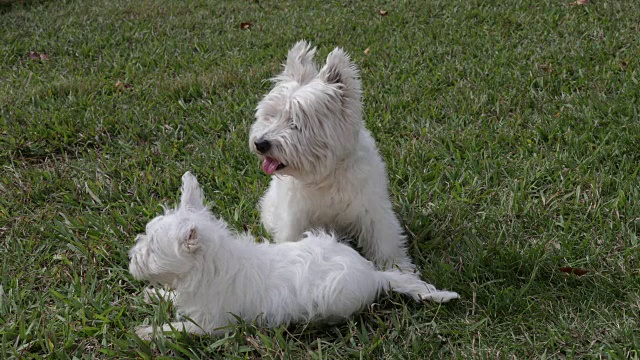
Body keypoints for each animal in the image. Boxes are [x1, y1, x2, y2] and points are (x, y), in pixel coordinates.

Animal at [129, 173, 460, 338]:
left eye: (152, 250)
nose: (131, 258)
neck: (208, 268)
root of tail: (374, 274)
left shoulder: (212, 325)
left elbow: (178, 329)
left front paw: (146, 332)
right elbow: (171, 297)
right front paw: (154, 295)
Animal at [250, 40, 420, 272]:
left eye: (296, 123)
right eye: (271, 115)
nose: (260, 144)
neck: (326, 175)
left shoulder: (372, 210)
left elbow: (384, 241)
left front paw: (398, 268)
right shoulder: (295, 219)